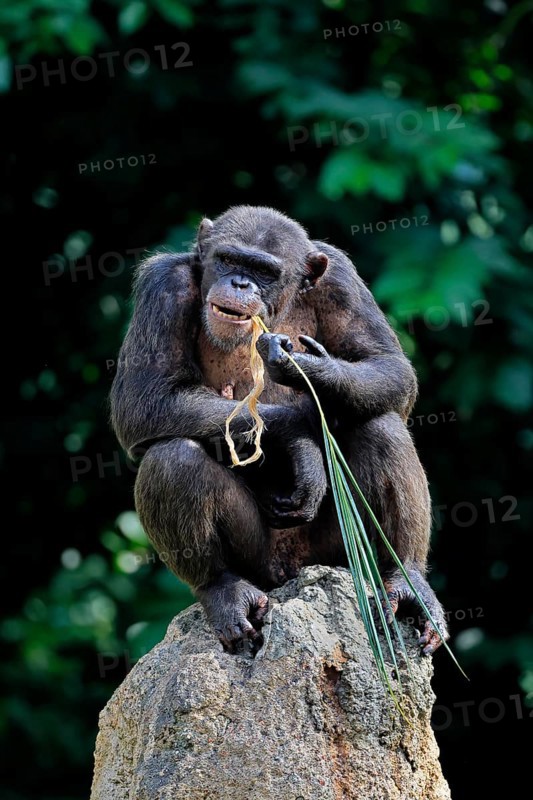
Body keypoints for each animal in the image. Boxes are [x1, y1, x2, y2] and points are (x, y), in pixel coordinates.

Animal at [110, 205, 448, 656]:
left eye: (264, 271)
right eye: (229, 260)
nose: (240, 282)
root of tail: (292, 572)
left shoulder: (341, 280)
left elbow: (389, 367)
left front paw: (308, 369)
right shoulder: (162, 287)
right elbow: (144, 399)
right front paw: (298, 437)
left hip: (334, 554)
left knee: (381, 425)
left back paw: (407, 583)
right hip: (261, 562)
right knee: (173, 457)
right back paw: (225, 591)